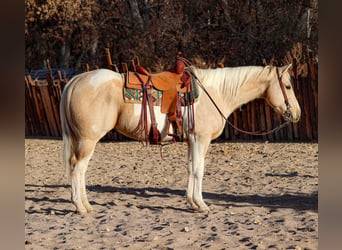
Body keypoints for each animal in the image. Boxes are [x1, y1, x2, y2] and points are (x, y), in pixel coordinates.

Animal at [60, 64, 300, 215]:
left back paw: (86, 205)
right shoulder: (201, 139)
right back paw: (80, 207)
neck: (215, 93)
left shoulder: (192, 141)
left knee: (79, 169)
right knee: (78, 168)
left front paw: (192, 202)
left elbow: (191, 168)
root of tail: (76, 80)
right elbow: (199, 170)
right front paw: (201, 205)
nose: (297, 114)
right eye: (288, 86)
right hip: (88, 140)